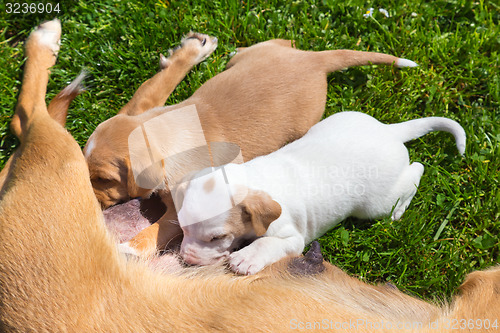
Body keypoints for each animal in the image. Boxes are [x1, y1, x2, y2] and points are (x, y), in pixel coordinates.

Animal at [85, 28, 418, 256]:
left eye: (104, 179)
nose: (88, 202)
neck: (168, 132)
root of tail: (315, 60)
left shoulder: (182, 205)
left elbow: (162, 227)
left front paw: (128, 249)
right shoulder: (142, 108)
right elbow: (156, 84)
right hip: (257, 54)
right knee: (281, 42)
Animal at [176, 111, 464, 272]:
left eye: (217, 237)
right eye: (183, 229)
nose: (186, 259)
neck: (255, 178)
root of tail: (389, 131)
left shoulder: (293, 238)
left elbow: (267, 243)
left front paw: (247, 257)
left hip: (377, 204)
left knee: (416, 170)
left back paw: (401, 208)